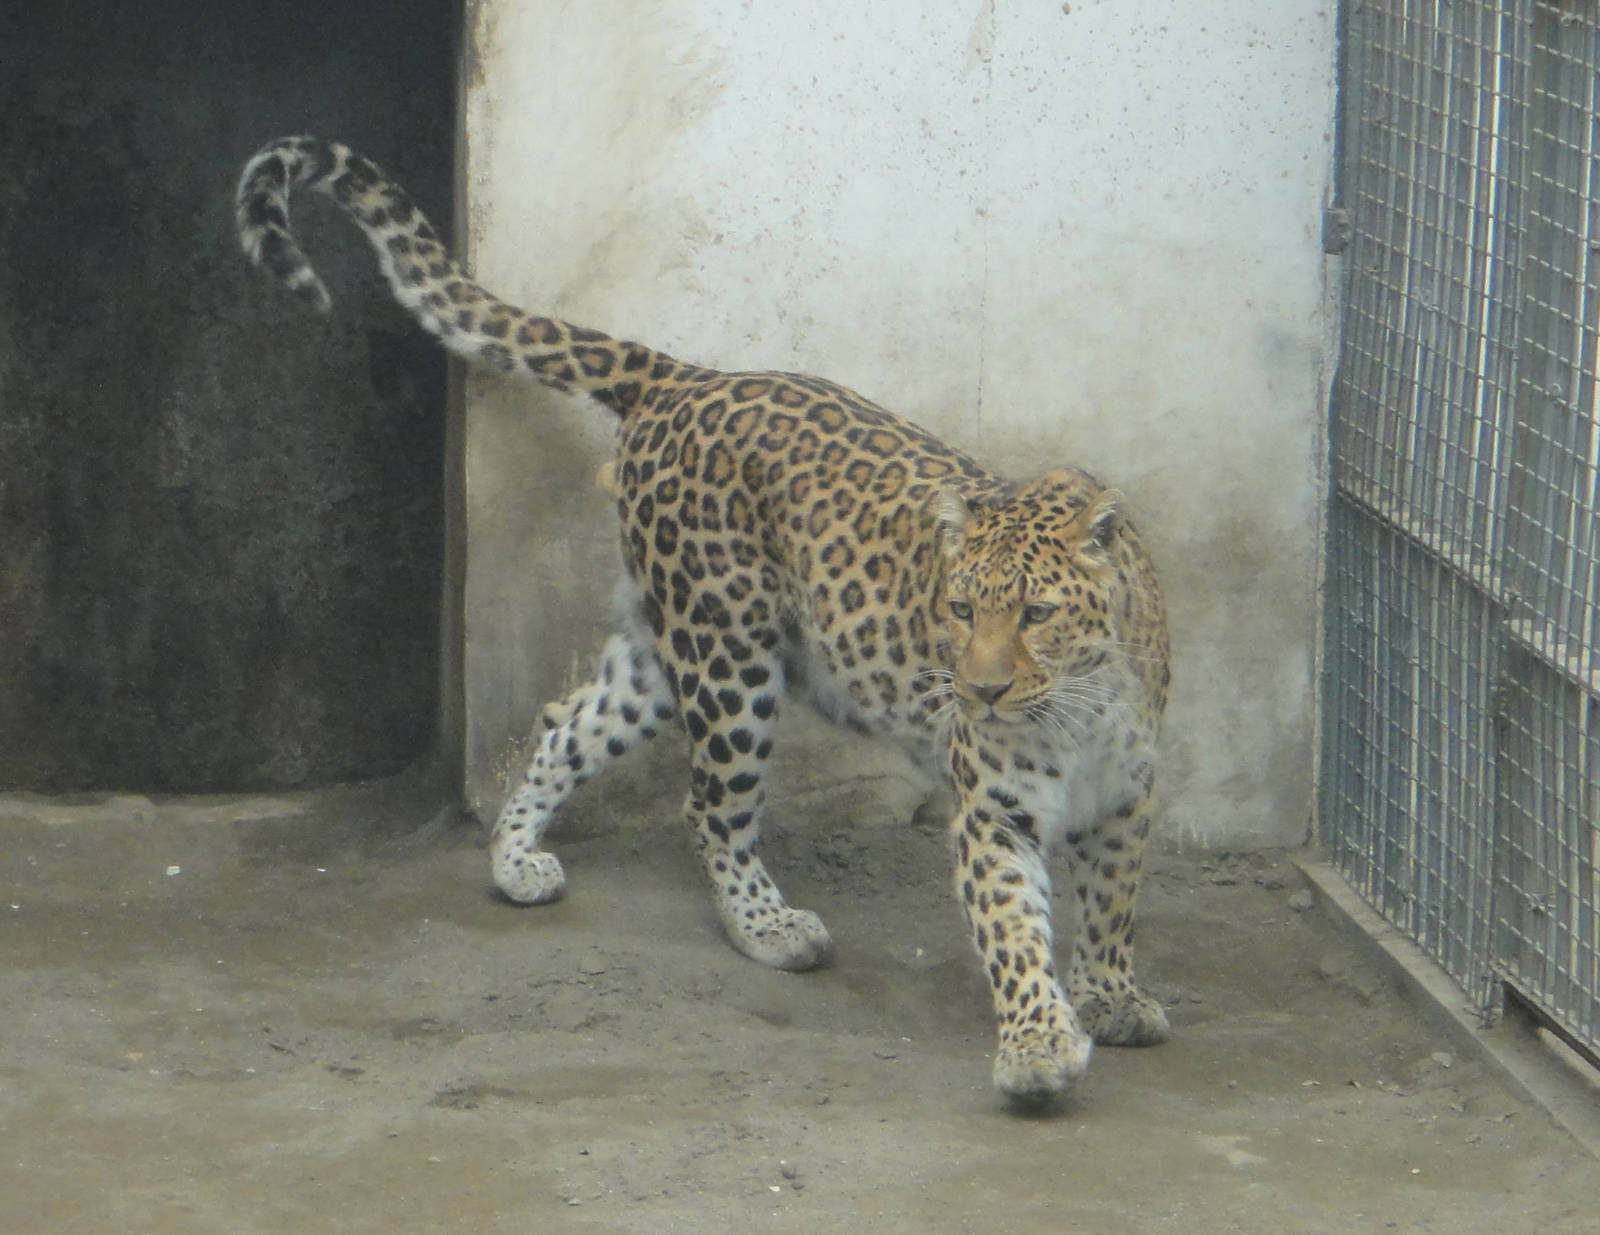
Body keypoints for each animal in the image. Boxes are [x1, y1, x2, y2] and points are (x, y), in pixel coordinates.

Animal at [235, 135, 1173, 1104]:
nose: (979, 692)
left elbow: (1113, 903)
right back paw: (770, 925)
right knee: (710, 805)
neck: (1082, 706)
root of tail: (686, 377)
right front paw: (1038, 1046)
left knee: (565, 719)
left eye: (1035, 612)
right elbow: (1014, 929)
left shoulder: (1128, 794)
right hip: (729, 655)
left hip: (663, 653)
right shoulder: (994, 806)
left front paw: (1112, 997)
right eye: (957, 608)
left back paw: (517, 860)